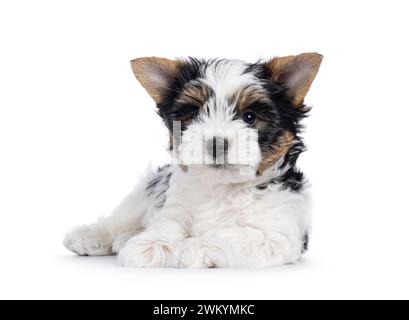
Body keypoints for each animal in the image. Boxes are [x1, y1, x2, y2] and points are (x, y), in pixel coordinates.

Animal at [63, 53, 322, 268]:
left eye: (249, 117)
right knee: (123, 217)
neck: (223, 188)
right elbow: (167, 223)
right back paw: (93, 237)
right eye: (195, 114)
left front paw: (192, 247)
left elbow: (234, 235)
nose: (216, 144)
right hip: (147, 189)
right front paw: (150, 244)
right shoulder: (173, 205)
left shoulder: (278, 235)